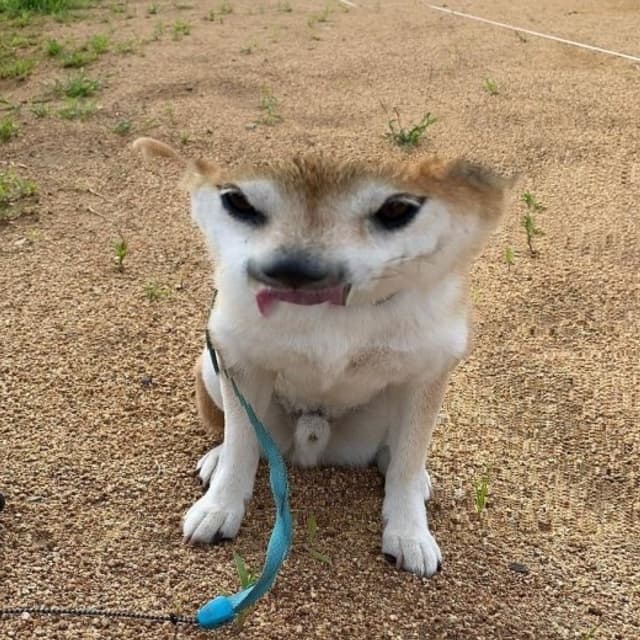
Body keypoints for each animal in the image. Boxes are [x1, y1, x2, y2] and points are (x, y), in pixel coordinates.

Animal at [133, 137, 507, 577]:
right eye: (238, 202)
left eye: (396, 210)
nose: (291, 270)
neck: (335, 311)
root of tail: (314, 439)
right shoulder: (240, 361)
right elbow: (241, 442)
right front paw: (220, 508)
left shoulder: (426, 374)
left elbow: (408, 460)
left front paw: (410, 533)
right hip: (211, 363)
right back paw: (217, 457)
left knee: (398, 452)